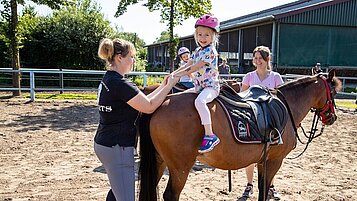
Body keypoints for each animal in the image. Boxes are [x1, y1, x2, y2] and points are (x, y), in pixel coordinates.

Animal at [137, 70, 340, 199]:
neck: (286, 105)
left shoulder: (262, 161)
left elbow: (261, 188)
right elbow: (264, 191)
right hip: (180, 167)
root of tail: (160, 103)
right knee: (171, 195)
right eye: (334, 92)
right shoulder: (275, 160)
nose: (332, 117)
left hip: (159, 161)